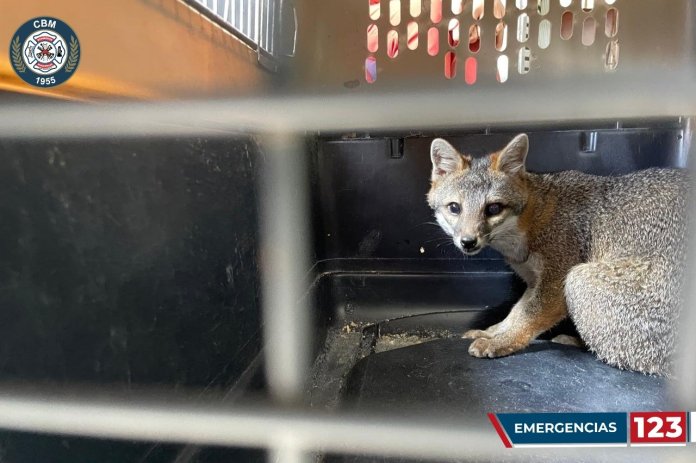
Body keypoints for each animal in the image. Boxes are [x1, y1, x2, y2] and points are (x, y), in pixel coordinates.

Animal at [426, 134, 688, 376]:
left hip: (578, 280)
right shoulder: (534, 282)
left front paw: (502, 342)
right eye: (454, 208)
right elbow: (515, 313)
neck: (531, 219)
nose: (468, 242)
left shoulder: (555, 281)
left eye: (493, 208)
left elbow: (528, 318)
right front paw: (492, 332)